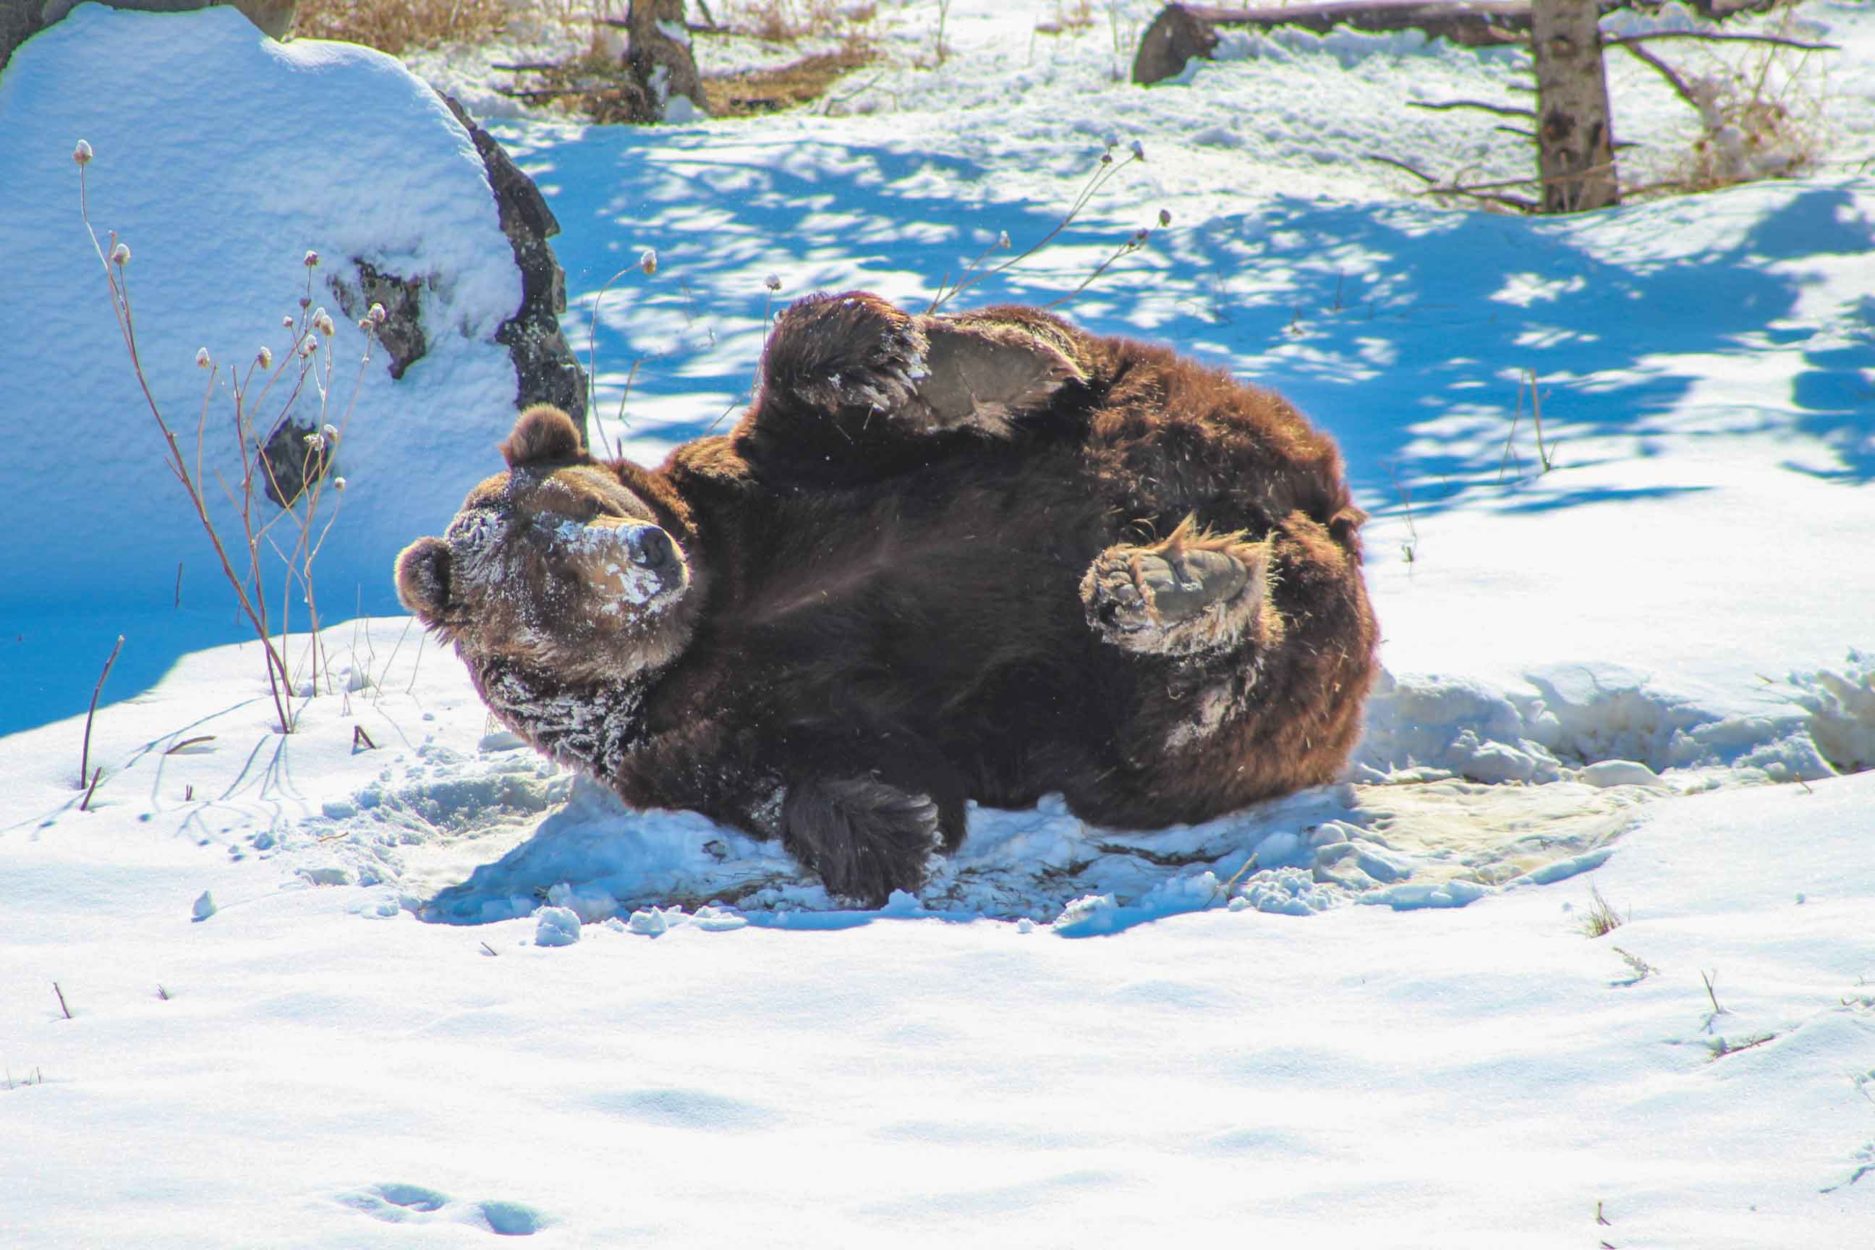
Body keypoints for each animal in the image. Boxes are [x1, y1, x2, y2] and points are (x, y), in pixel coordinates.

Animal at [395, 294, 1380, 910]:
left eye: (589, 501)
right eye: (544, 575)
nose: (646, 555)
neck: (710, 615)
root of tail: (1325, 518)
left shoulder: (773, 490)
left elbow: (821, 392)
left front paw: (895, 352)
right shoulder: (689, 742)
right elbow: (811, 775)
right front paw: (887, 827)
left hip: (1203, 425)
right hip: (1137, 724)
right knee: (1191, 706)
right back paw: (1163, 588)